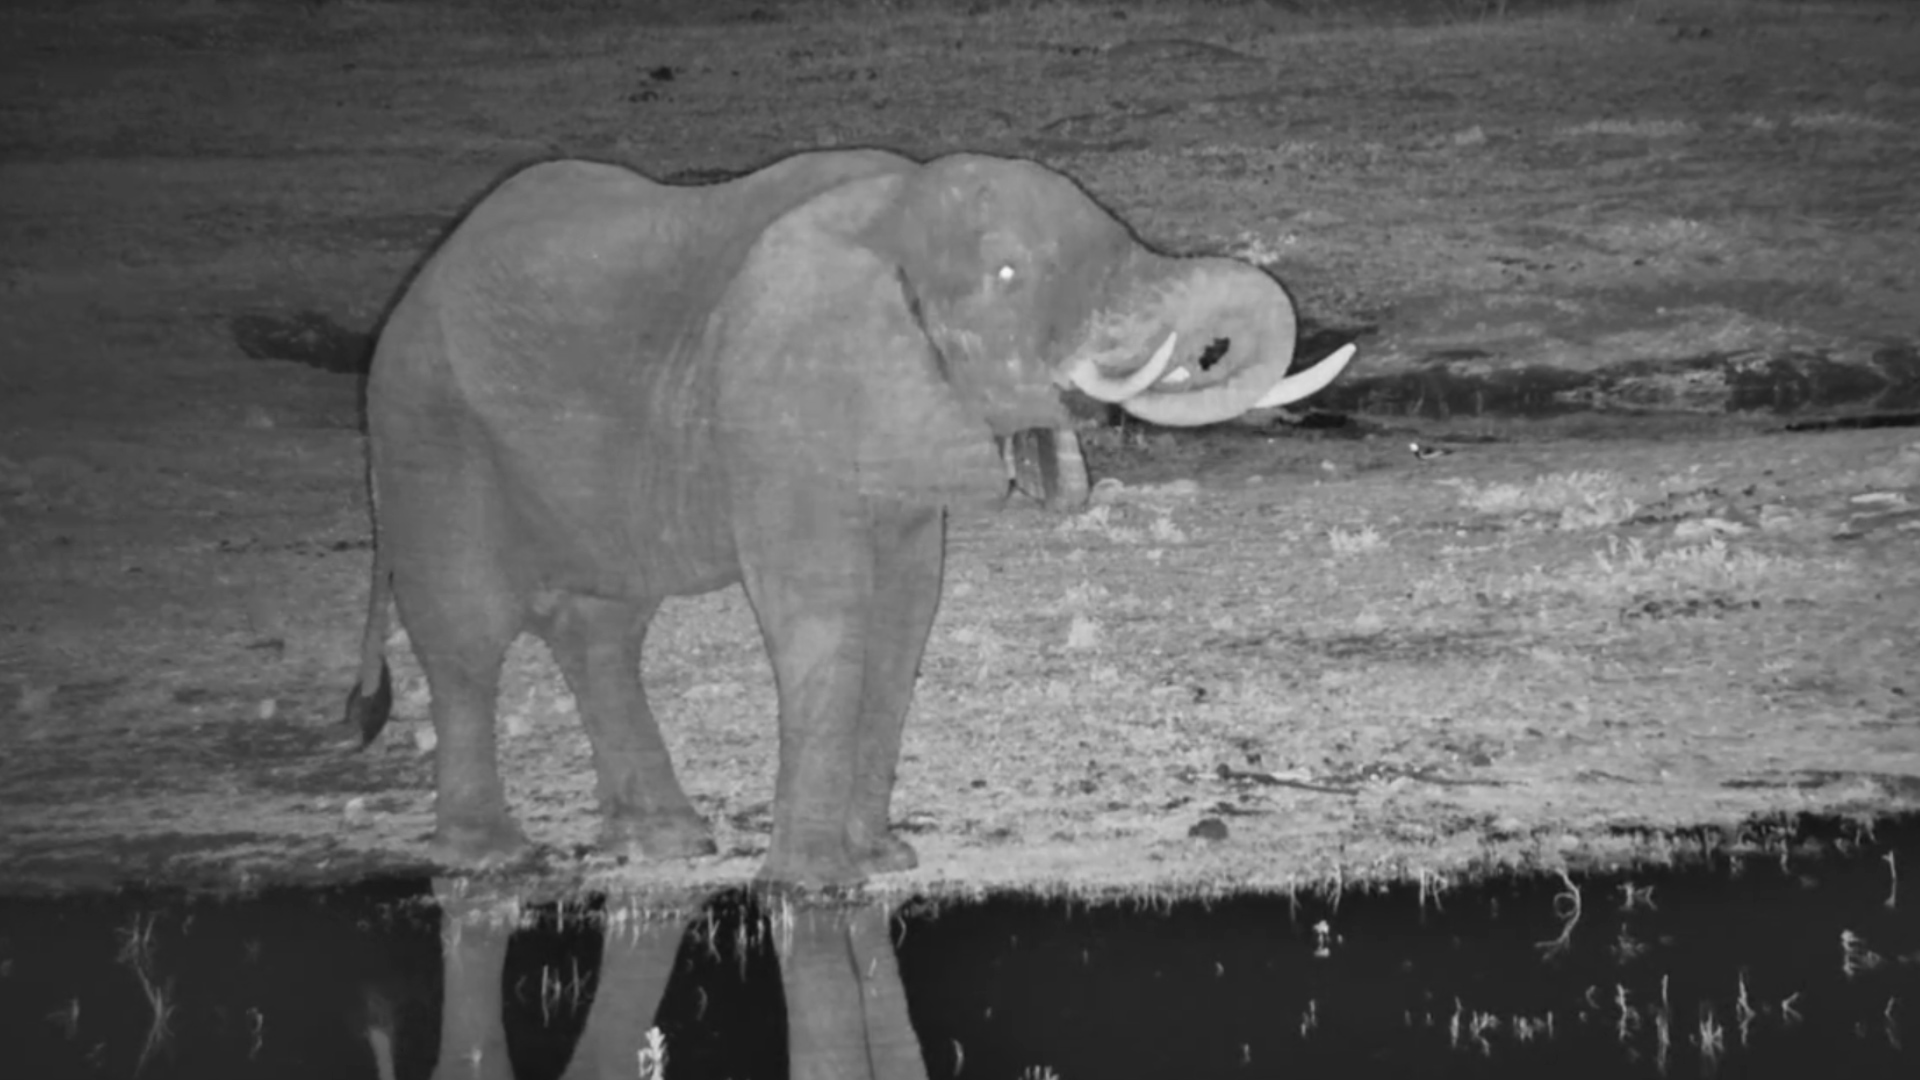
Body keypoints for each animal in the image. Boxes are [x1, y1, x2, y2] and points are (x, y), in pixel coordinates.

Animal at [343, 148, 1356, 887]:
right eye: (1008, 273)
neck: (893, 207)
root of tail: (416, 285)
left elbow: (907, 611)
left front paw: (883, 861)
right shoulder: (777, 409)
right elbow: (823, 616)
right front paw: (815, 887)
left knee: (602, 626)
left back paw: (668, 841)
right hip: (426, 429)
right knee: (468, 635)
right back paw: (491, 860)